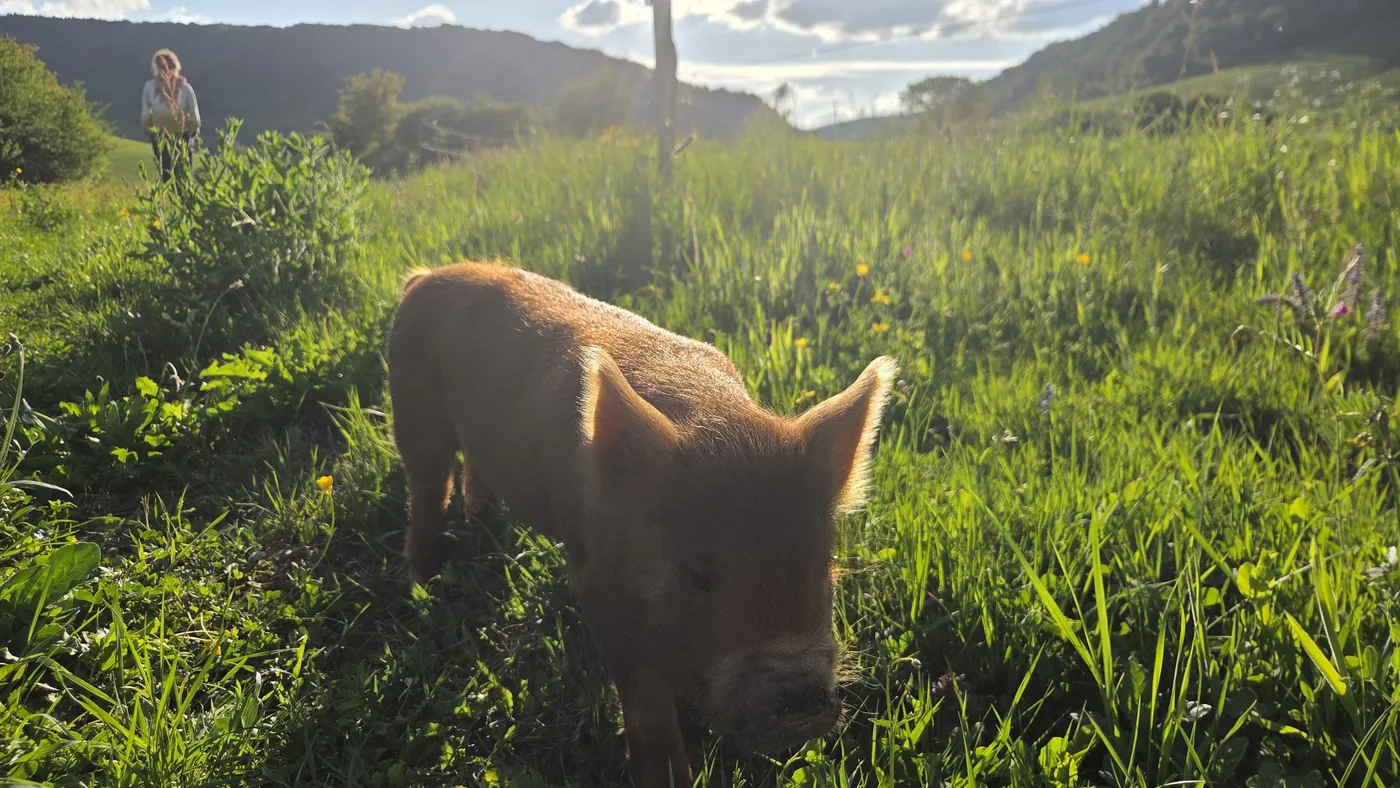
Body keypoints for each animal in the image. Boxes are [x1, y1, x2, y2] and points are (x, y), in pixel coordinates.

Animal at [386, 261, 897, 788]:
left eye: (822, 570)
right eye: (699, 577)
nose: (802, 698)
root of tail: (425, 277)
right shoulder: (595, 579)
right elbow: (642, 690)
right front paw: (667, 775)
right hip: (412, 410)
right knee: (426, 486)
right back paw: (426, 577)